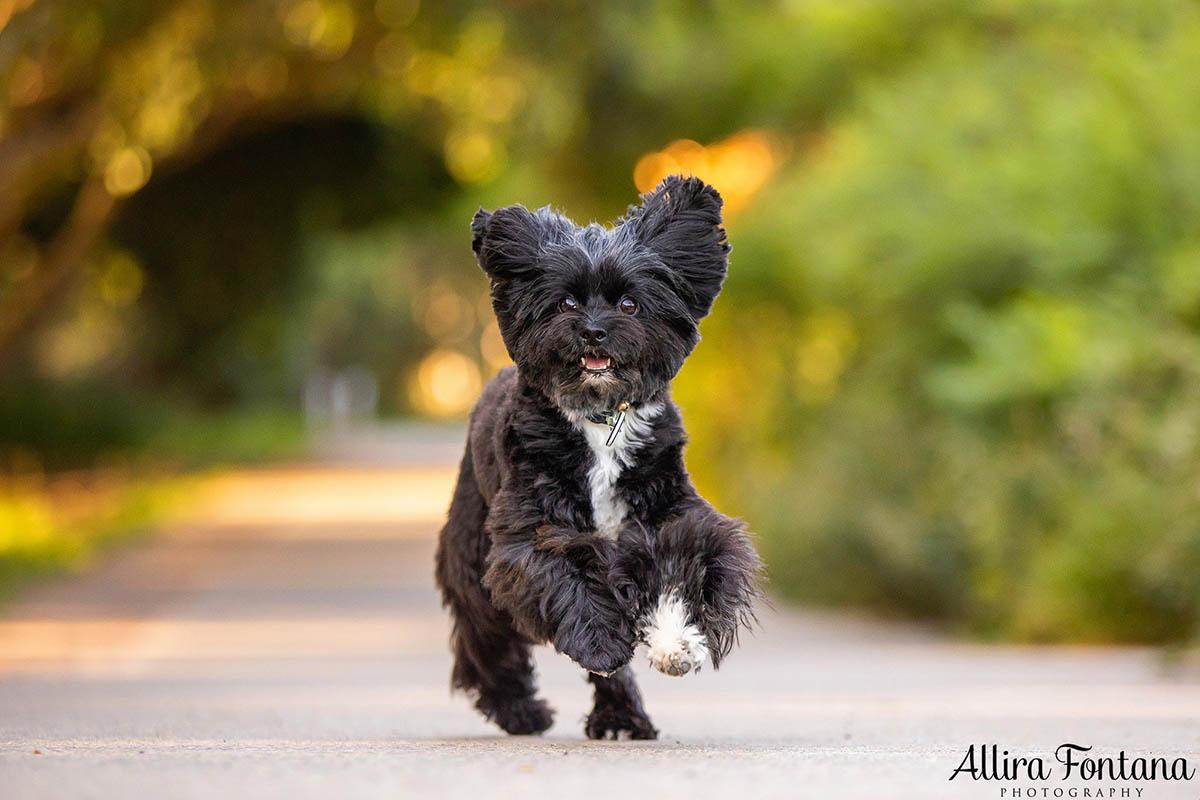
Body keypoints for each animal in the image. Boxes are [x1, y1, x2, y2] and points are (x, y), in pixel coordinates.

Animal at [436, 178, 758, 743]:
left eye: (629, 305)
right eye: (565, 301)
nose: (591, 331)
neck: (600, 419)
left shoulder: (668, 514)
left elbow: (692, 556)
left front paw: (682, 638)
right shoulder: (530, 535)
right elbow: (566, 579)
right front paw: (606, 645)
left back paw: (622, 717)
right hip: (470, 556)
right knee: (486, 641)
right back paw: (519, 710)